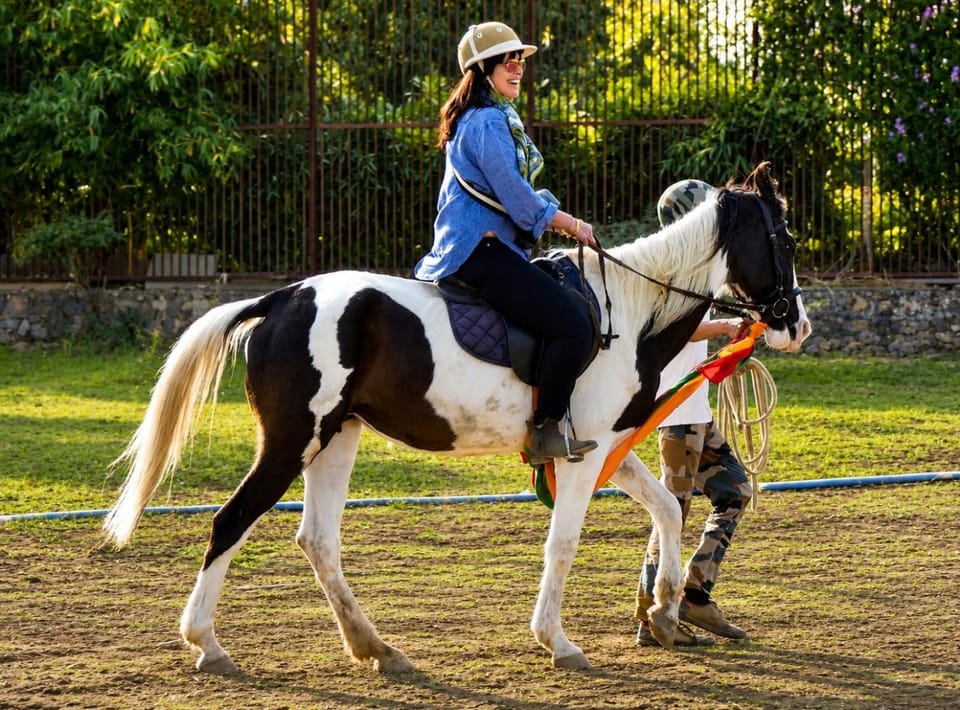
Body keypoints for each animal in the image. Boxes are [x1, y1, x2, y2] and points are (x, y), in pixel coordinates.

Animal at [102, 161, 811, 674]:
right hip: (291, 441)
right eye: (783, 238)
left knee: (318, 540)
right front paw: (557, 641)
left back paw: (376, 649)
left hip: (336, 438)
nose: (797, 324)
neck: (630, 310)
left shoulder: (604, 446)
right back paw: (207, 643)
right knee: (231, 521)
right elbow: (563, 543)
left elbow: (666, 507)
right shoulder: (581, 457)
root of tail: (280, 298)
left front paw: (663, 610)